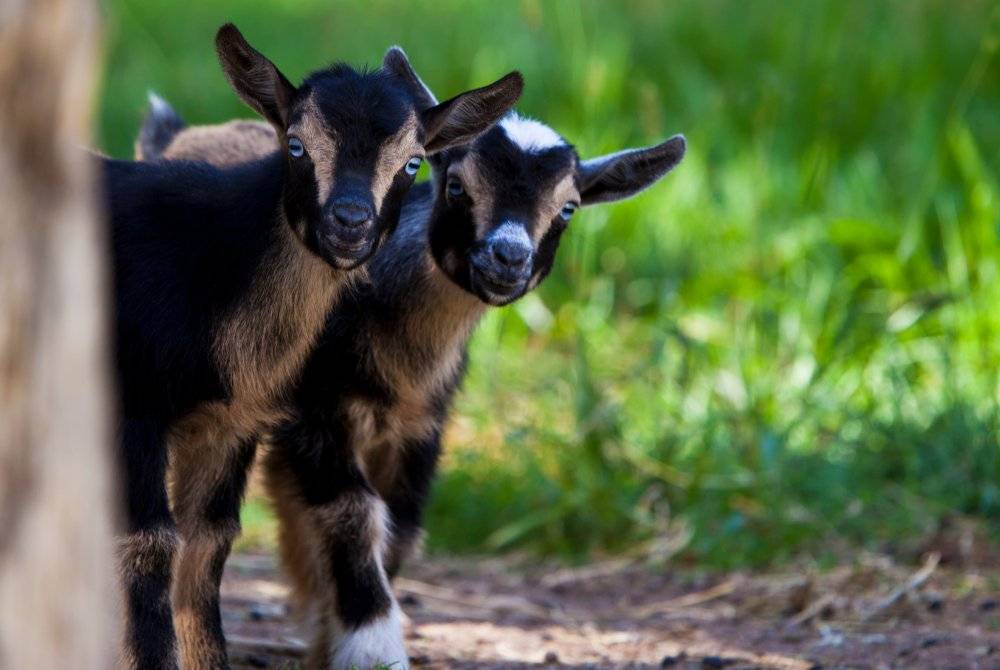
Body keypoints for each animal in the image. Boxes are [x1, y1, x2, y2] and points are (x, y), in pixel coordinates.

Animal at [104, 23, 520, 668]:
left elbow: (207, 543)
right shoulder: (133, 402)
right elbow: (147, 542)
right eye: (296, 145)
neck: (211, 261)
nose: (350, 222)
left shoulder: (231, 420)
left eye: (412, 162)